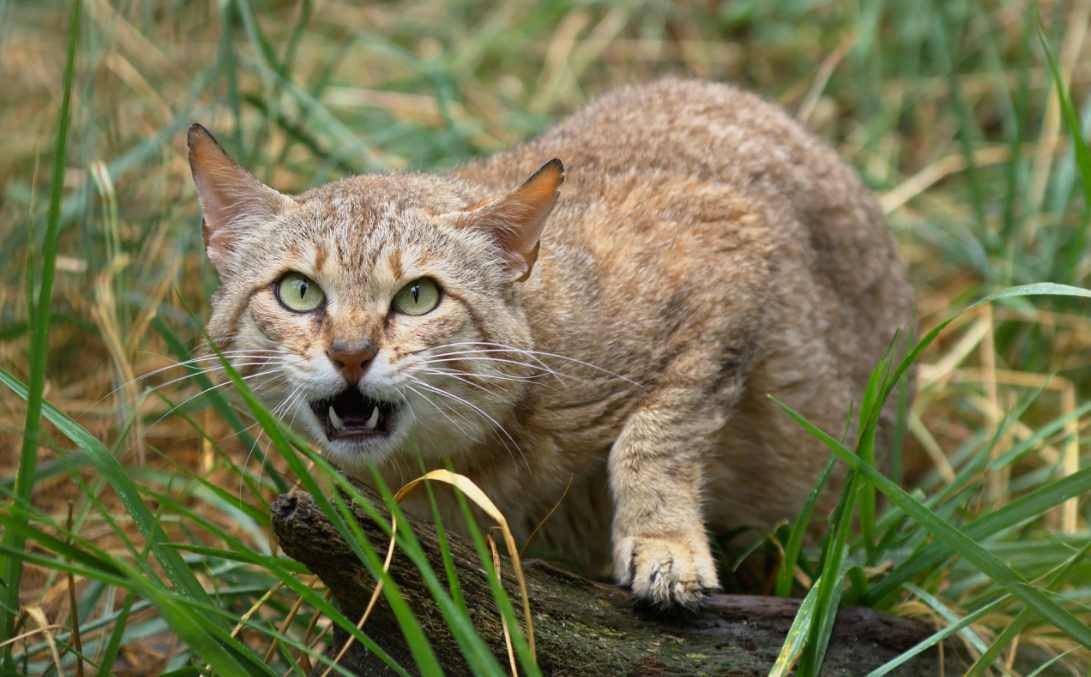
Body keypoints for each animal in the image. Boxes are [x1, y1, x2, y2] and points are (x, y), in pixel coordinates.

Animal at [187, 77, 912, 606]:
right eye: (298, 292)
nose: (351, 353)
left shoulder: (730, 248)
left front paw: (663, 542)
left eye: (418, 296)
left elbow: (656, 433)